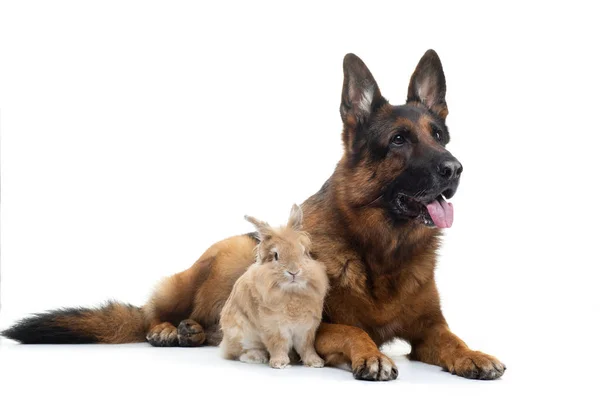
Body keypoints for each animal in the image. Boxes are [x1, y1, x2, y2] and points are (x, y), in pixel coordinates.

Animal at [218, 205, 328, 370]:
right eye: (276, 255)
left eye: (303, 252)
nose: (294, 271)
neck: (292, 293)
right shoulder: (274, 327)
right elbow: (278, 346)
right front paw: (280, 364)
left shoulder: (306, 329)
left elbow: (306, 347)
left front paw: (316, 363)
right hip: (240, 332)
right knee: (239, 352)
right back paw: (257, 357)